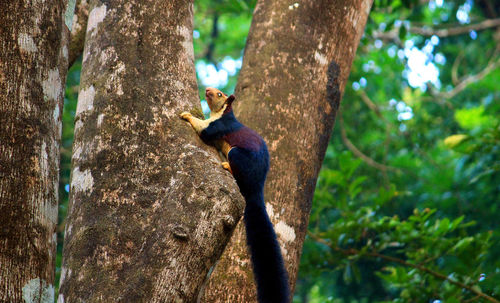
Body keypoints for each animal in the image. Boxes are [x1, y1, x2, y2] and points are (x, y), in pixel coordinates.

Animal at [180, 88, 290, 303]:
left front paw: (187, 115)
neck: (220, 113)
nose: (207, 90)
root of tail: (257, 188)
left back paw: (227, 165)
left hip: (238, 155)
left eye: (220, 94)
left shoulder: (220, 125)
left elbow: (204, 131)